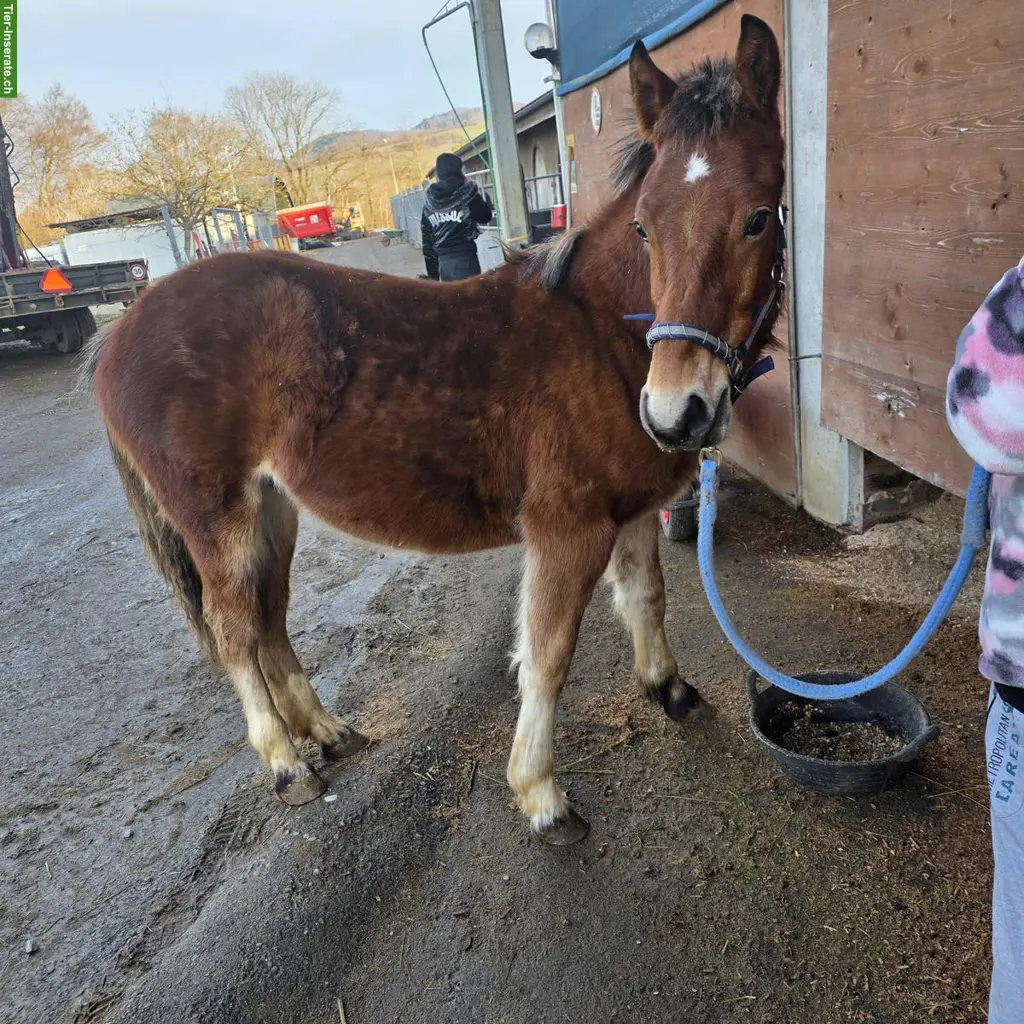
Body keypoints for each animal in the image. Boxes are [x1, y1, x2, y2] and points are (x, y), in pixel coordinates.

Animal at [85, 15, 785, 846]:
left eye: (758, 216)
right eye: (644, 227)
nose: (678, 411)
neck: (596, 333)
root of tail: (119, 333)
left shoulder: (635, 510)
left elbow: (645, 598)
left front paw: (671, 691)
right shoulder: (568, 528)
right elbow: (547, 655)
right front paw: (540, 795)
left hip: (271, 509)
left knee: (269, 621)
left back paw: (327, 732)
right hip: (215, 518)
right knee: (232, 633)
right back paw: (286, 765)